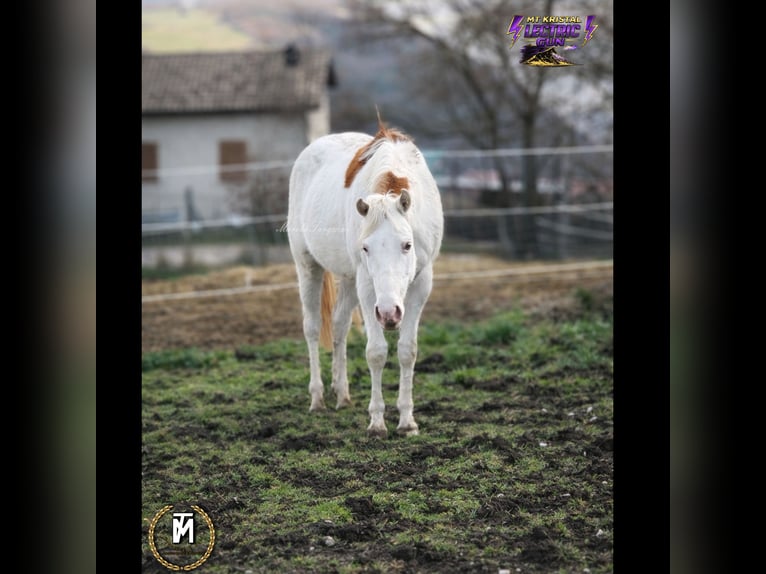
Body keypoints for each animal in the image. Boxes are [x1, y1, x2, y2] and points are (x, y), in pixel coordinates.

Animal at [287, 118, 444, 437]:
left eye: (407, 245)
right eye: (366, 248)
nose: (389, 313)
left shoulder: (422, 283)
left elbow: (407, 351)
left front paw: (407, 421)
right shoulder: (368, 288)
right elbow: (376, 352)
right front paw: (377, 422)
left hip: (348, 279)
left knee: (339, 326)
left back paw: (342, 394)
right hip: (308, 266)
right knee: (312, 328)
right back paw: (318, 398)